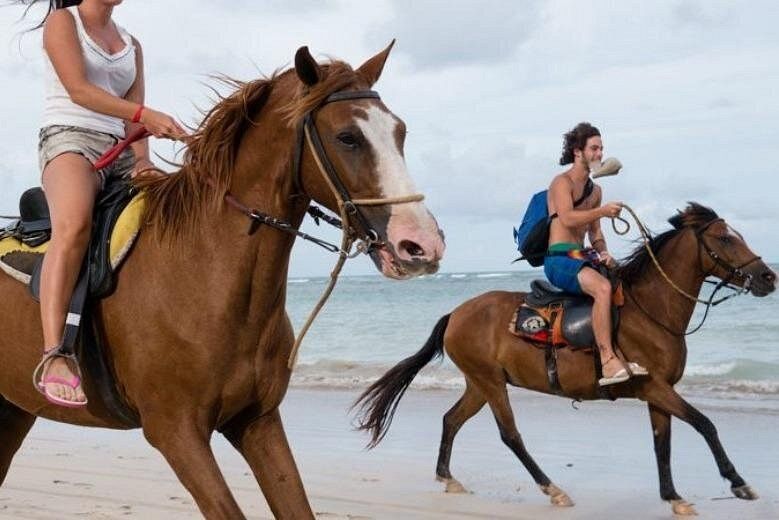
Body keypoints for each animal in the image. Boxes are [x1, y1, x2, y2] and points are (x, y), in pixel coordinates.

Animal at [0, 42, 445, 519]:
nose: (422, 244)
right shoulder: (176, 433)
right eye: (348, 137)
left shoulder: (257, 422)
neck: (205, 281)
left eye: (399, 132)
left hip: (14, 411)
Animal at [355, 203, 776, 516]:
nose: (768, 277)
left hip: (480, 383)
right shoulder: (655, 387)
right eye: (725, 238)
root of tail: (456, 314)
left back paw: (448, 477)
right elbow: (706, 425)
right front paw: (739, 483)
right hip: (490, 383)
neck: (652, 309)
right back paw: (552, 488)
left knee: (451, 420)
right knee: (510, 435)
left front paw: (673, 497)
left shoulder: (658, 392)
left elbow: (663, 444)